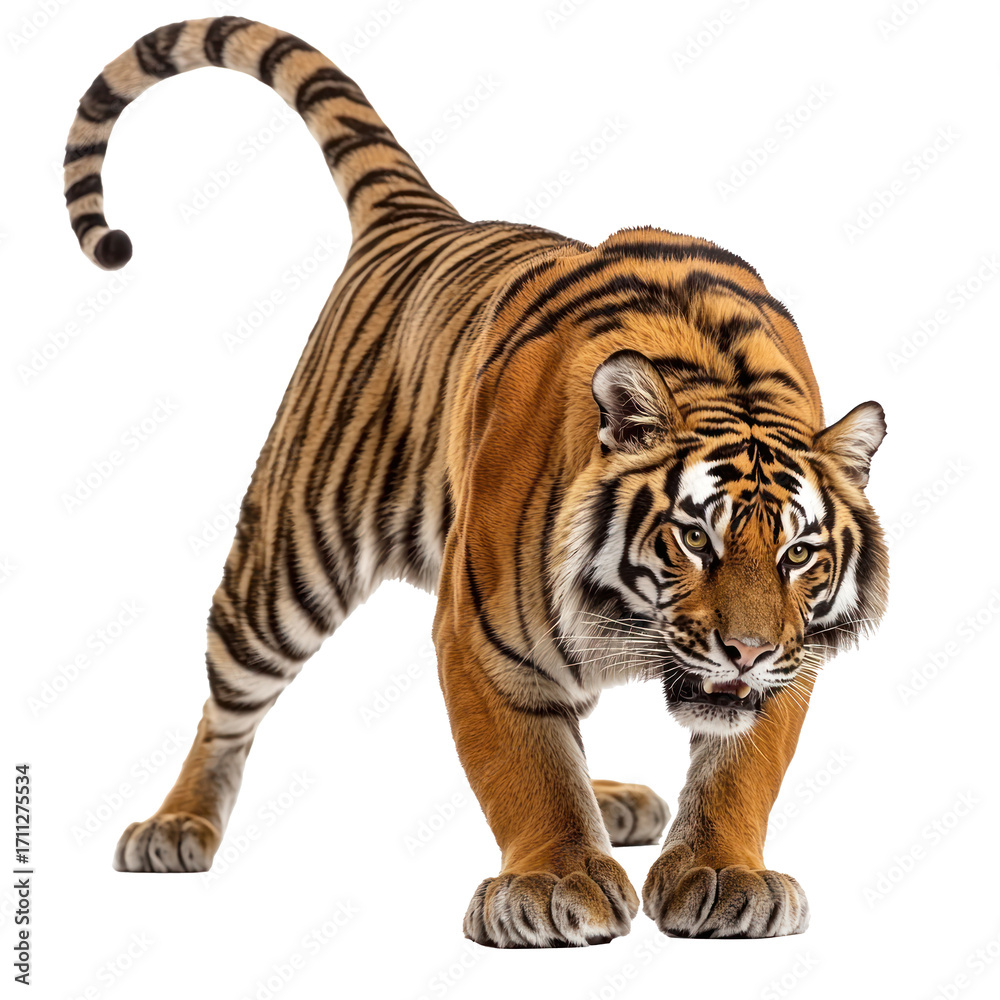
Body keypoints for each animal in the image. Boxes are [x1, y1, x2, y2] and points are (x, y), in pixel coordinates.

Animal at [63, 17, 889, 946]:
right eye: (692, 538)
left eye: (798, 555)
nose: (745, 650)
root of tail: (422, 219)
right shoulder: (481, 636)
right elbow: (527, 767)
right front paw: (556, 881)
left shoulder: (795, 655)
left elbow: (742, 766)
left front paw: (722, 872)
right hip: (288, 564)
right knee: (226, 703)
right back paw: (176, 824)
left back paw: (615, 799)